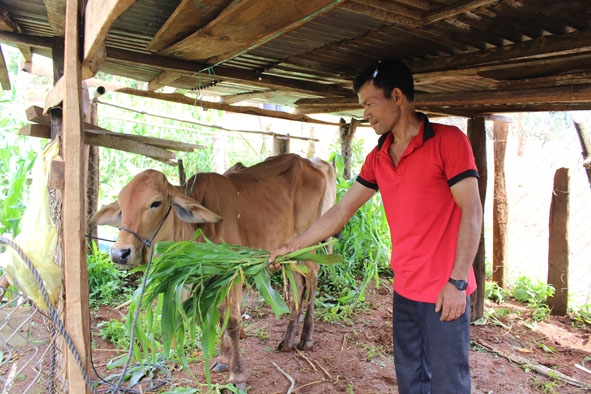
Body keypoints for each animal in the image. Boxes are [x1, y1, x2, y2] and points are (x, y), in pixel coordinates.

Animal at [89, 152, 338, 390]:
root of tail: (314, 165)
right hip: (290, 250)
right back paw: (288, 338)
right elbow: (220, 317)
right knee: (298, 282)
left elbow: (232, 322)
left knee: (313, 276)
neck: (196, 229)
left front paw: (237, 374)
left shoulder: (233, 274)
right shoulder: (212, 276)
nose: (119, 253)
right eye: (121, 205)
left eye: (155, 203)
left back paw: (306, 336)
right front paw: (223, 359)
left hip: (309, 242)